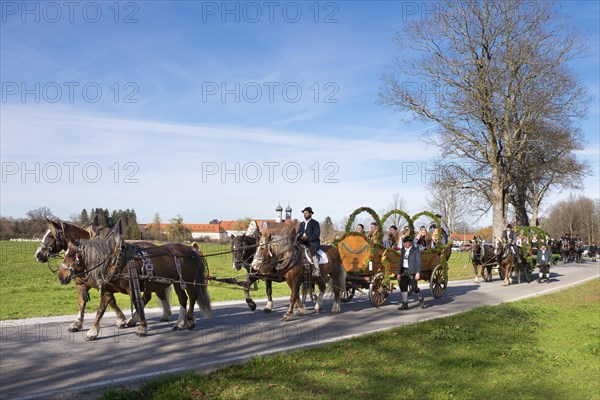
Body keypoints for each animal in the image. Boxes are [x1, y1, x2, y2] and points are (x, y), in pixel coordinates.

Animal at [34, 219, 171, 332]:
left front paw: (121, 320)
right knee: (155, 294)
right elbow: (82, 302)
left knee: (151, 295)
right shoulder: (81, 283)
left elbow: (111, 301)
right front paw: (77, 323)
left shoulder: (104, 283)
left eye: (51, 235)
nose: (38, 255)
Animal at [56, 222, 211, 340]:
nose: (60, 276)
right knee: (182, 299)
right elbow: (101, 309)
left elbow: (137, 303)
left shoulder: (132, 286)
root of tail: (192, 251)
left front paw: (141, 327)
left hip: (187, 281)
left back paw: (189, 320)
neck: (115, 260)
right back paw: (180, 323)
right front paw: (92, 331)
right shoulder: (106, 289)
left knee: (192, 297)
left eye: (72, 255)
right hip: (176, 282)